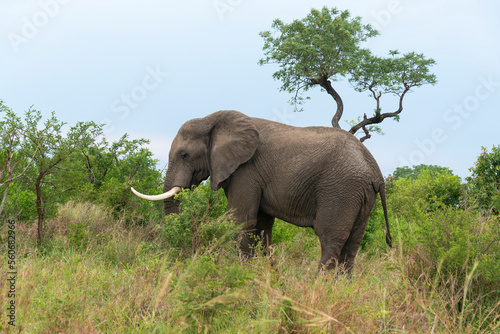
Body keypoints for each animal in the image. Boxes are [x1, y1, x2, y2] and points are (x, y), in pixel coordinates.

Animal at [132, 109, 390, 272]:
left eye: (184, 155)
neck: (213, 120)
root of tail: (375, 170)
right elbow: (262, 226)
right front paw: (265, 275)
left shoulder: (246, 171)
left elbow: (242, 221)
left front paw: (243, 275)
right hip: (361, 195)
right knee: (353, 244)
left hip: (340, 190)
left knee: (330, 239)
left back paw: (319, 286)